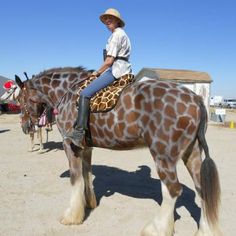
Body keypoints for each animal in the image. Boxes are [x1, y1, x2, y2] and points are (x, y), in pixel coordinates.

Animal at [14, 67, 221, 236]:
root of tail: (196, 99)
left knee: (172, 190)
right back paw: (205, 231)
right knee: (201, 188)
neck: (68, 92)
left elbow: (76, 178)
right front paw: (89, 203)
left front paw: (72, 216)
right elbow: (86, 173)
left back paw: (157, 229)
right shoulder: (86, 147)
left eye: (19, 99)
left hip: (163, 156)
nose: (25, 127)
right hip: (191, 153)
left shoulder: (70, 145)